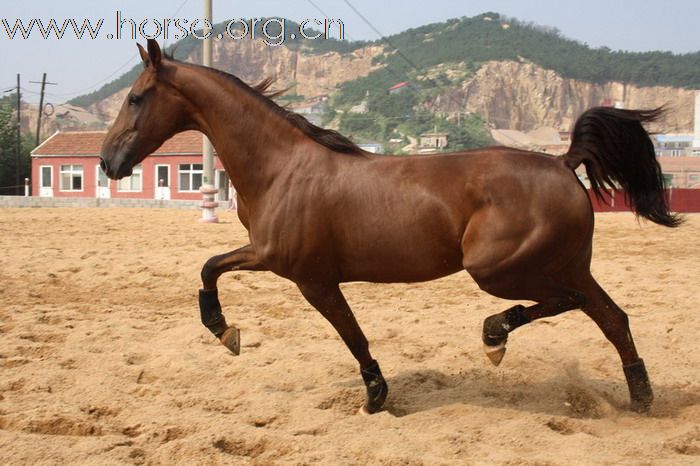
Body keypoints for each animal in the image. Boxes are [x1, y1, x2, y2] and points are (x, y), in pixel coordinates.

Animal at [101, 41, 680, 416]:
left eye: (135, 98)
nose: (108, 162)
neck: (281, 168)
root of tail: (563, 163)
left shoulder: (309, 277)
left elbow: (351, 334)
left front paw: (376, 396)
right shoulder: (266, 255)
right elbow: (209, 267)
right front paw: (225, 332)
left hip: (499, 269)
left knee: (573, 305)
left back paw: (495, 336)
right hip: (564, 265)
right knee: (611, 316)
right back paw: (640, 397)